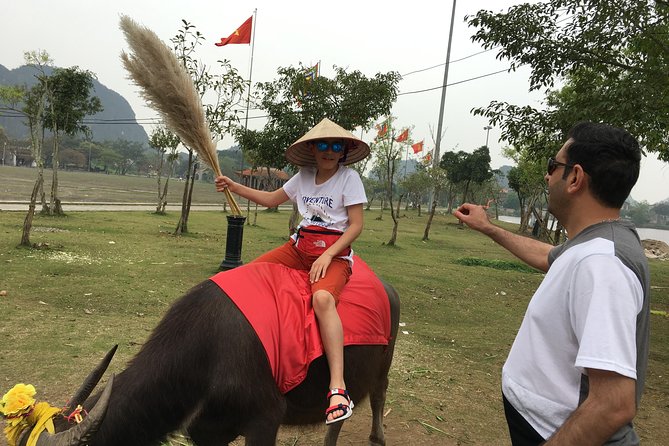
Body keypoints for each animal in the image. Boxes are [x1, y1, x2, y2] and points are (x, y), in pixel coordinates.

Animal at [15, 264, 400, 444]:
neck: (207, 356)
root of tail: (388, 288)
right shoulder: (206, 432)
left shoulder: (265, 420)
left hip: (384, 364)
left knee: (379, 394)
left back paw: (378, 436)